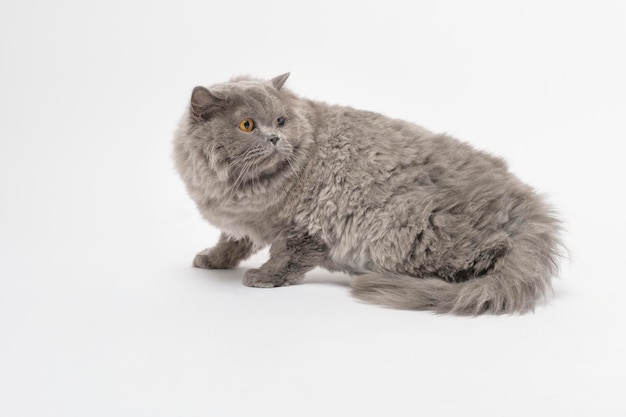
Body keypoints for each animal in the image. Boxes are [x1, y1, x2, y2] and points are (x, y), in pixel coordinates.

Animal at [172, 72, 560, 312]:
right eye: (247, 125)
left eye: (280, 121)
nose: (274, 137)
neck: (247, 187)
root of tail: (530, 210)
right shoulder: (244, 220)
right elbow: (232, 240)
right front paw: (213, 259)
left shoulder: (307, 226)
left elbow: (287, 258)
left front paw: (263, 278)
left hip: (411, 227)